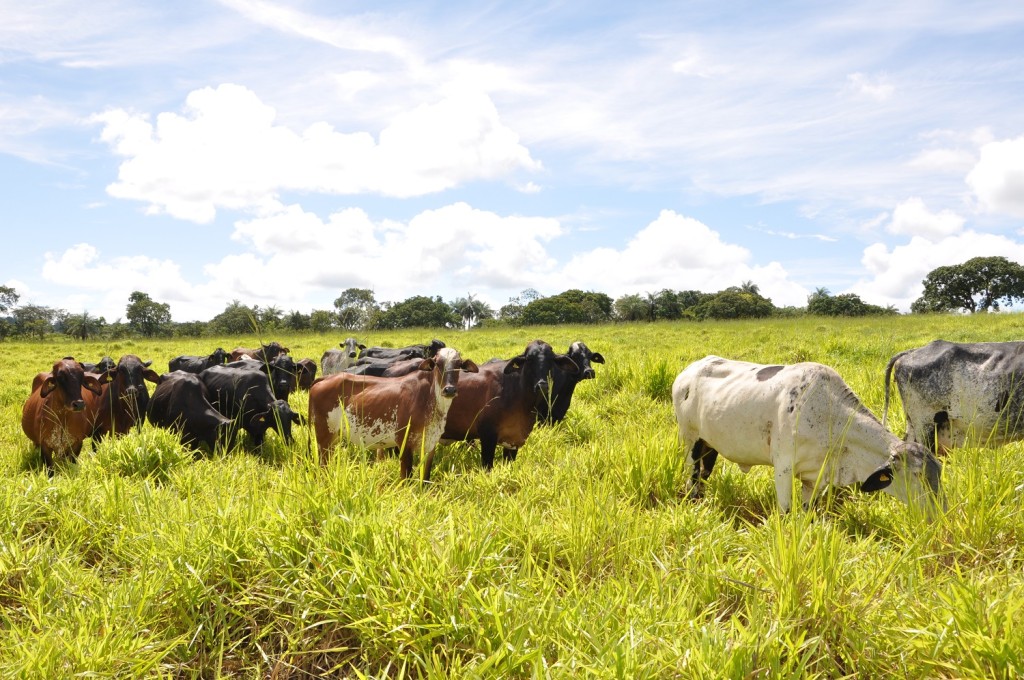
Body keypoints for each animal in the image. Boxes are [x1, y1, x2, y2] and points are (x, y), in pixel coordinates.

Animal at [671, 356, 942, 516]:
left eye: (939, 472)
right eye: (917, 476)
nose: (940, 513)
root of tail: (688, 371)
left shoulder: (816, 478)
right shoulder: (783, 468)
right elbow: (786, 512)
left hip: (709, 446)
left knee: (704, 475)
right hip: (690, 441)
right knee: (692, 478)